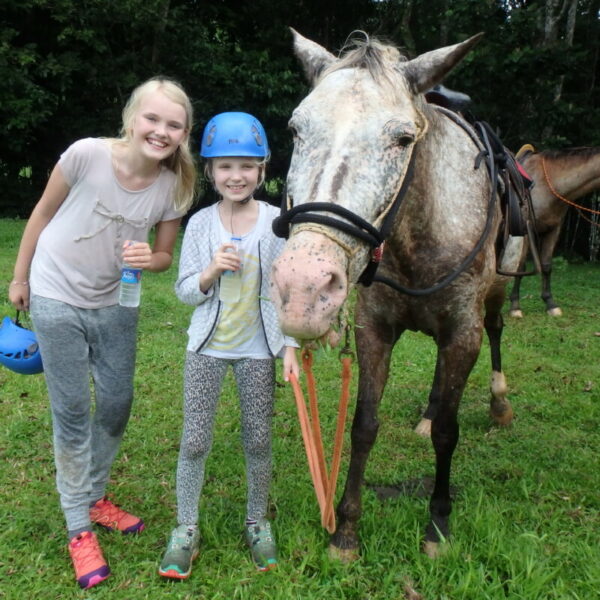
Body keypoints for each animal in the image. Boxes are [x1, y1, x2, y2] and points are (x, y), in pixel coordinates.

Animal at [270, 30, 521, 560]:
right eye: (296, 130)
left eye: (404, 138)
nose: (303, 287)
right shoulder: (375, 330)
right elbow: (364, 425)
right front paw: (346, 529)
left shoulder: (462, 331)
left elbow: (448, 433)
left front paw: (438, 525)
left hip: (496, 295)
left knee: (495, 332)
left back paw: (499, 403)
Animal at [508, 146, 600, 317]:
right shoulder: (526, 232)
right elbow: (521, 267)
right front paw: (515, 306)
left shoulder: (553, 229)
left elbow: (546, 265)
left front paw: (550, 303)